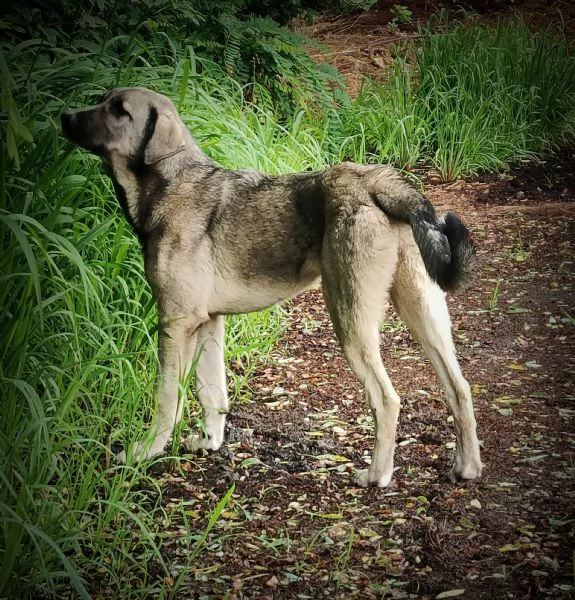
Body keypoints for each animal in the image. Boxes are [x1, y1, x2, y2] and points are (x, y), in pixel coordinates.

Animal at [60, 85, 484, 488]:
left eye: (119, 111)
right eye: (103, 101)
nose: (64, 116)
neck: (170, 184)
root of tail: (377, 182)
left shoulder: (175, 324)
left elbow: (168, 399)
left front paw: (146, 451)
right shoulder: (208, 322)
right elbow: (212, 392)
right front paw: (209, 442)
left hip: (351, 322)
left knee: (387, 399)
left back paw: (377, 475)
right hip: (423, 314)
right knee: (459, 387)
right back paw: (467, 466)